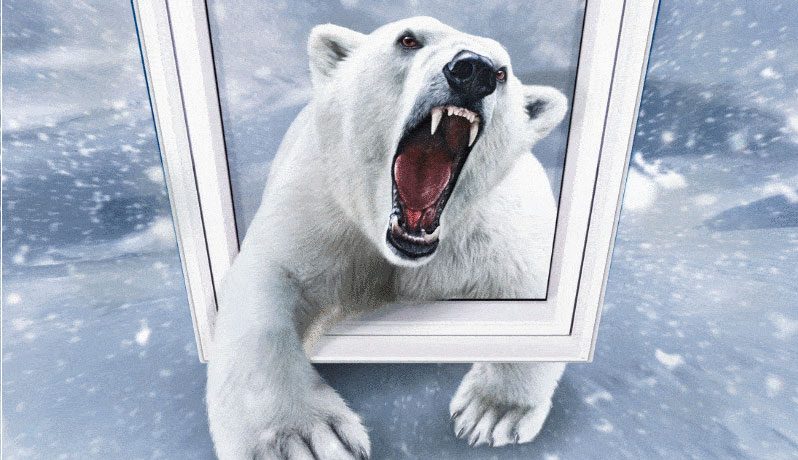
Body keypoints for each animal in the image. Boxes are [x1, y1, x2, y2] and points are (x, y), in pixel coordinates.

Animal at [207, 16, 568, 459]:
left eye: (503, 72)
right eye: (409, 40)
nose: (474, 70)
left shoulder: (492, 236)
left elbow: (528, 289)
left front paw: (491, 412)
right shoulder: (320, 207)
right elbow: (267, 281)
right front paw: (305, 438)